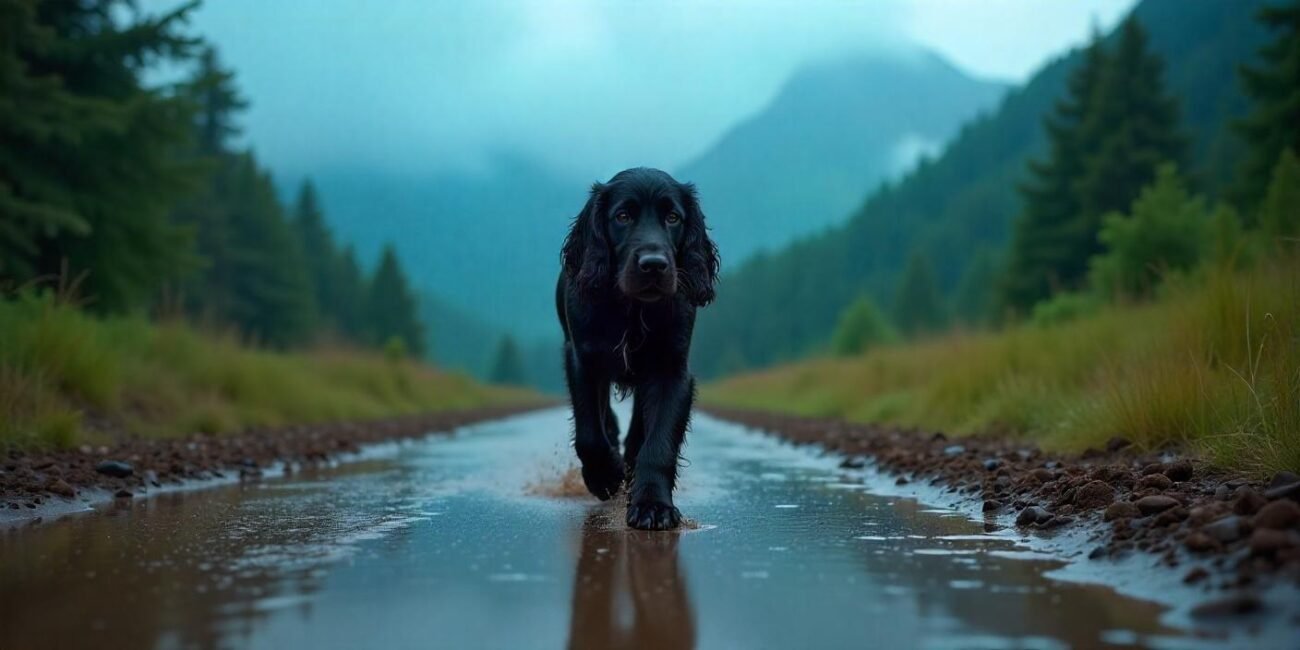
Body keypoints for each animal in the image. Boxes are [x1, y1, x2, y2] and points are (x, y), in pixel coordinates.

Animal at [556, 166, 722, 527]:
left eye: (673, 217)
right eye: (623, 216)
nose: (654, 264)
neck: (632, 310)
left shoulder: (672, 371)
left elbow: (658, 443)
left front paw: (652, 505)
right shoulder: (583, 359)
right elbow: (590, 435)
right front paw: (605, 476)